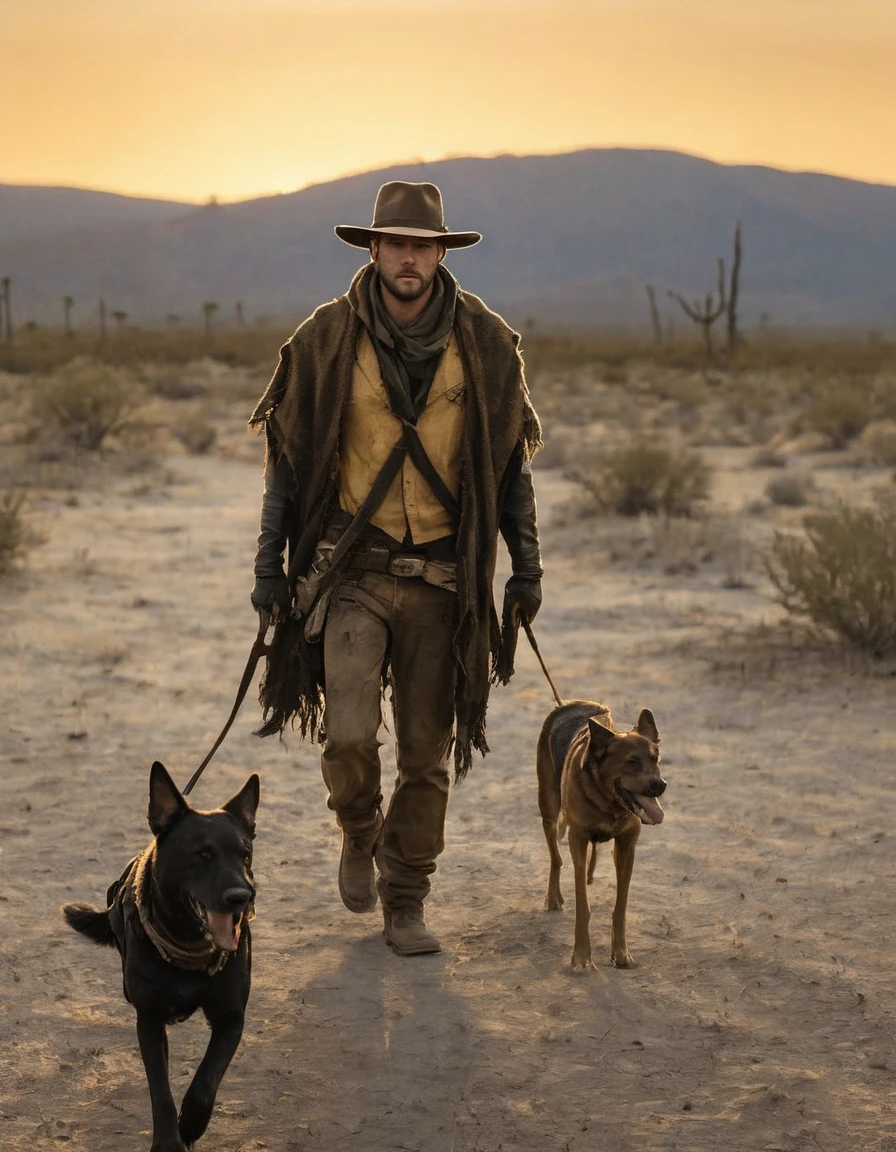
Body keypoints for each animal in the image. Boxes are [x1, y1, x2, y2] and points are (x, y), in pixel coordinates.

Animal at [61, 764, 257, 1152]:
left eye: (245, 854)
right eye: (202, 854)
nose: (242, 897)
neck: (190, 948)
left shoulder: (231, 1017)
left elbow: (205, 1082)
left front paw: (190, 1126)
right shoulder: (149, 1020)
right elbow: (160, 1092)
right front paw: (168, 1141)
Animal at [536, 695, 663, 967]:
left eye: (656, 759)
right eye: (632, 762)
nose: (659, 785)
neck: (607, 800)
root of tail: (568, 702)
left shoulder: (627, 844)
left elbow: (621, 906)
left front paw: (621, 953)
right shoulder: (578, 839)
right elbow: (582, 906)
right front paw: (582, 956)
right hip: (548, 807)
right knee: (555, 858)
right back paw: (553, 897)